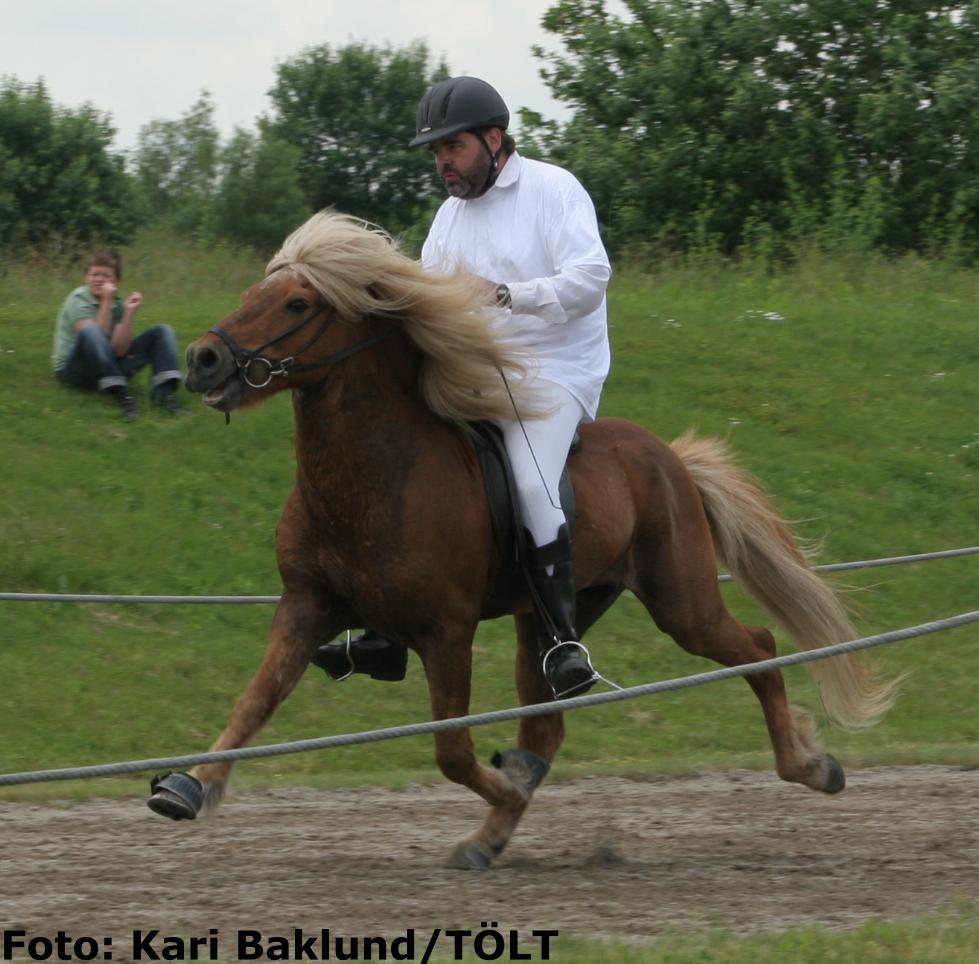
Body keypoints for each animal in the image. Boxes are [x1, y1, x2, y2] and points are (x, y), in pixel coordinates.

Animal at [151, 213, 896, 872]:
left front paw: (504, 788)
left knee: (759, 651)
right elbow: (254, 702)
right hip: (551, 618)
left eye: (298, 302)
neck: (376, 476)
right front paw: (188, 786)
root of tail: (671, 459)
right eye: (253, 293)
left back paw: (811, 765)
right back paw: (494, 828)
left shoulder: (446, 633)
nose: (202, 359)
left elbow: (451, 749)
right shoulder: (305, 609)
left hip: (679, 601)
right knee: (548, 720)